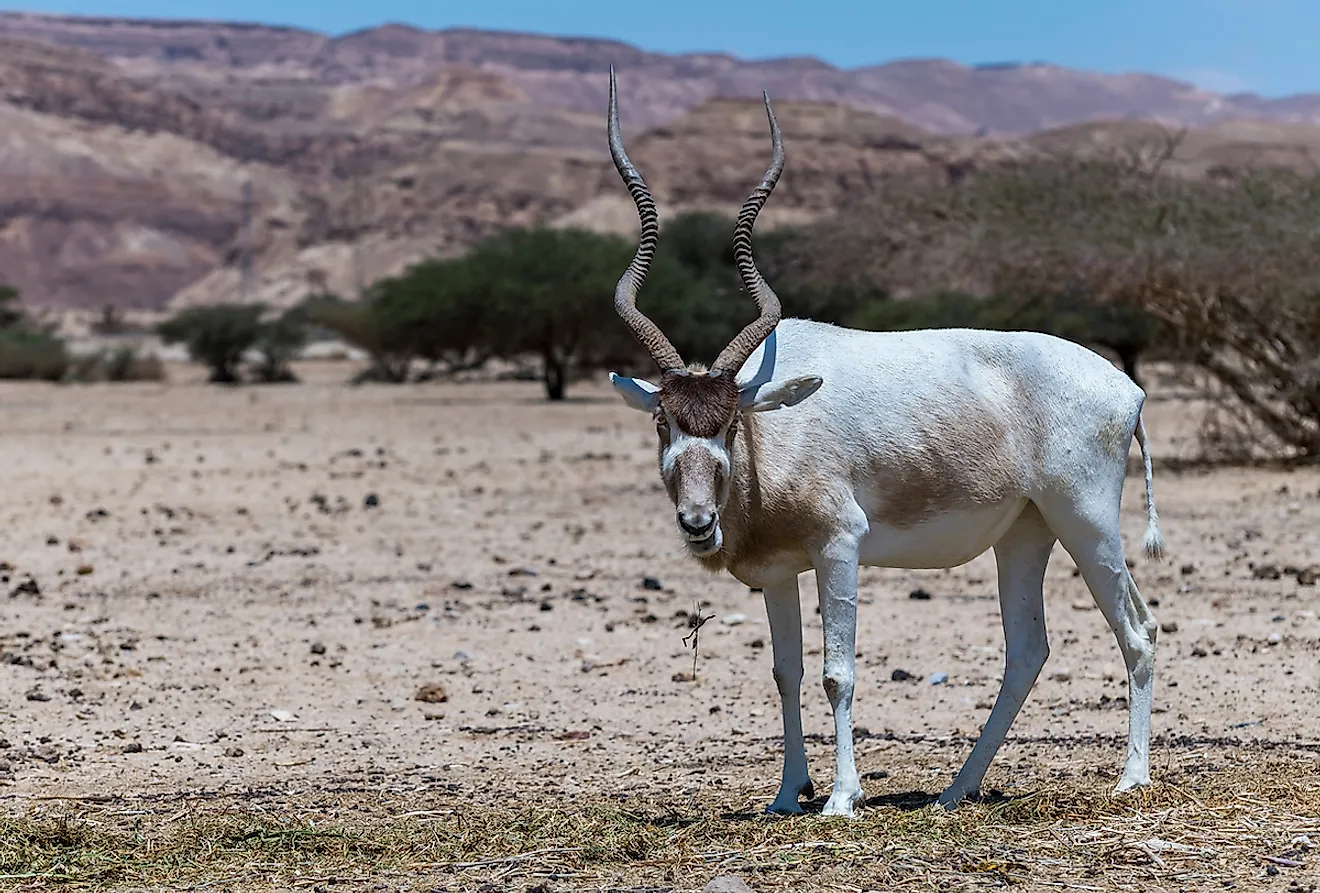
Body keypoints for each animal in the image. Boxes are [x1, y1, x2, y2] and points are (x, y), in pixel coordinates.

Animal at [604, 66, 1161, 812]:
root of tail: (1127, 389)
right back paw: (956, 788)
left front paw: (842, 797)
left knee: (1137, 630)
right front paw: (788, 794)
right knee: (1027, 650)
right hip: (1026, 533)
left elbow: (837, 671)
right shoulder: (778, 571)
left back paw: (1131, 777)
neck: (771, 429)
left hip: (1086, 521)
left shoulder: (839, 547)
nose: (697, 521)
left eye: (728, 423)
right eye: (664, 421)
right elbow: (786, 672)